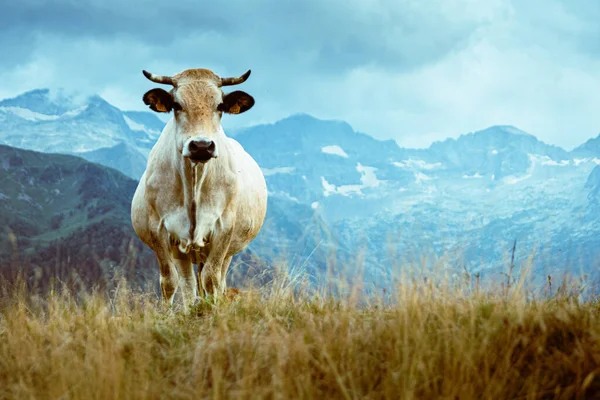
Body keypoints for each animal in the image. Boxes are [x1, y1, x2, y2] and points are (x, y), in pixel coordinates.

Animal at [131, 67, 268, 308]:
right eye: (176, 104)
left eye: (220, 105)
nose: (201, 146)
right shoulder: (158, 227)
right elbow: (169, 282)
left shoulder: (224, 227)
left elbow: (211, 279)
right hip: (183, 251)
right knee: (188, 284)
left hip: (227, 250)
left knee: (217, 280)